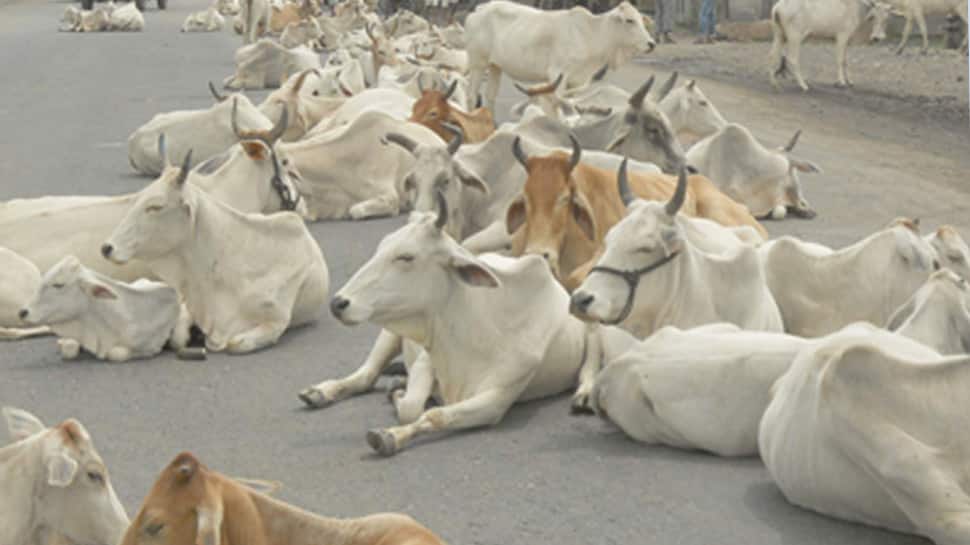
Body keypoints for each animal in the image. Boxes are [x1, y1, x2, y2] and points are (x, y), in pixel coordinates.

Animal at [19, 256, 190, 362]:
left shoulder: (151, 348)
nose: (23, 312)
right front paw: (64, 344)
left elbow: (116, 354)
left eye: (58, 285)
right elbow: (69, 348)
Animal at [323, 199, 635, 455]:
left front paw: (390, 432)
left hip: (591, 325)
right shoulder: (427, 355)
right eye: (381, 248)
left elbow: (434, 415)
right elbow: (411, 408)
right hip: (390, 331)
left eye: (406, 257)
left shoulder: (495, 401)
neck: (477, 326)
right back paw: (324, 391)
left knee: (587, 370)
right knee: (366, 374)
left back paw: (583, 395)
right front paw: (399, 398)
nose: (338, 303)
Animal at [464, 1, 655, 111]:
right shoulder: (558, 74)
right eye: (629, 20)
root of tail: (480, 9)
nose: (651, 44)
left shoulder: (576, 82)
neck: (591, 34)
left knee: (490, 97)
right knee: (472, 96)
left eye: (641, 20)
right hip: (477, 63)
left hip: (495, 66)